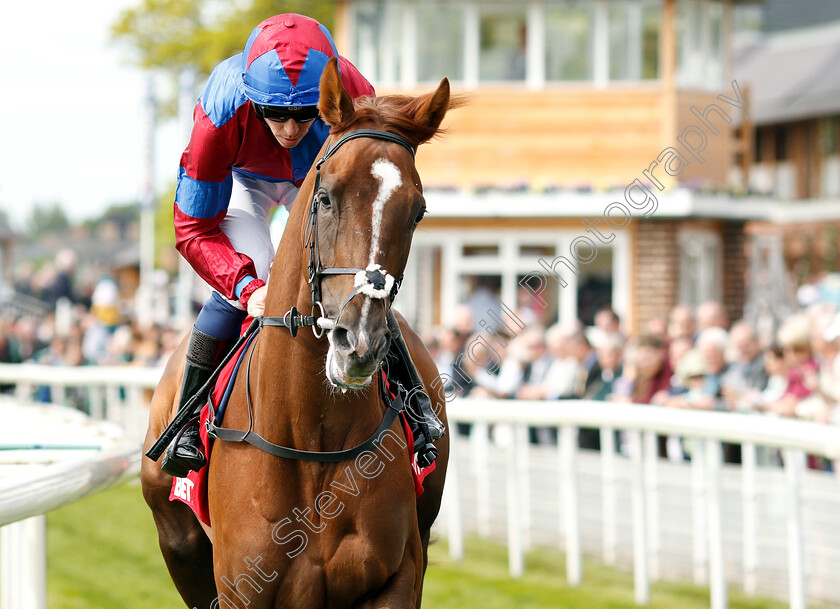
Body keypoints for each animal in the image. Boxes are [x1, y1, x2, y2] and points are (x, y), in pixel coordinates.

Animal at [143, 58, 460, 608]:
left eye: (417, 211)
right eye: (326, 197)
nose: (358, 344)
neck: (314, 442)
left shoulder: (399, 576)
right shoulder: (240, 587)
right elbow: (195, 225)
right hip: (178, 542)